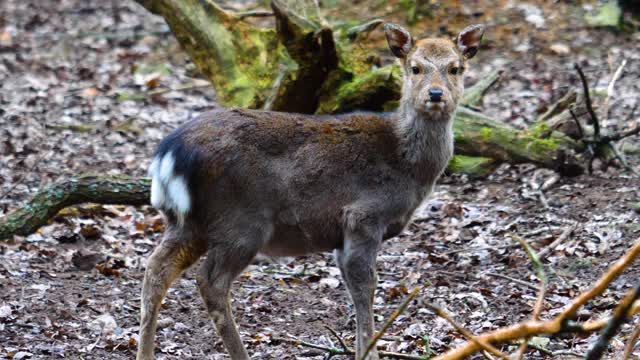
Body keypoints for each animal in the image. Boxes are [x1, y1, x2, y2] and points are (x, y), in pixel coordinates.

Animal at [136, 22, 484, 360]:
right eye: (415, 67)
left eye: (455, 68)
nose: (436, 94)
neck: (408, 167)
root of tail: (168, 154)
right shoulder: (363, 215)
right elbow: (366, 287)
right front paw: (368, 351)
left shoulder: (342, 236)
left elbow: (354, 288)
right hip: (240, 220)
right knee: (210, 281)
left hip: (188, 221)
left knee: (156, 269)